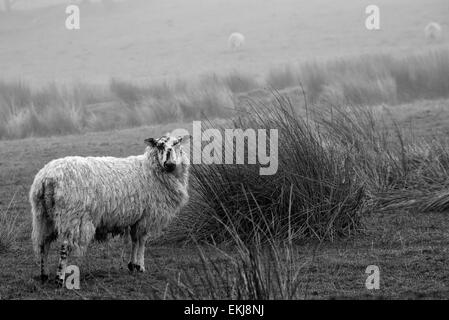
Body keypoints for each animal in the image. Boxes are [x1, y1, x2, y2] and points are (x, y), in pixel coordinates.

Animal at [29, 134, 191, 284]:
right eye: (159, 145)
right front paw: (140, 266)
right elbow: (142, 241)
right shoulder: (147, 216)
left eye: (176, 144)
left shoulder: (136, 217)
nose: (169, 164)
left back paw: (44, 275)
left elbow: (134, 240)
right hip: (72, 217)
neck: (150, 169)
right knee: (64, 247)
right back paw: (60, 278)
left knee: (43, 244)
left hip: (43, 216)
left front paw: (132, 265)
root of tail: (47, 178)